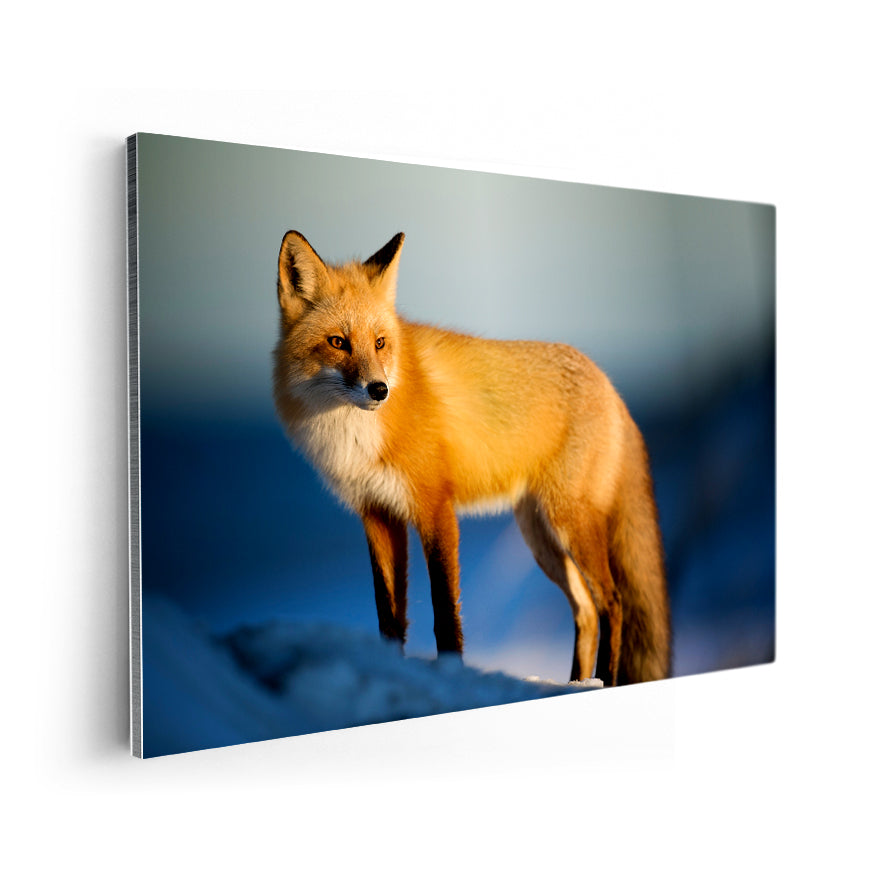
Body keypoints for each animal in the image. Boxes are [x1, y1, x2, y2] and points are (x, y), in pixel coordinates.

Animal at [272, 230, 671, 686]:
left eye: (379, 343)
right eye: (338, 342)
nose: (379, 390)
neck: (354, 436)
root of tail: (610, 385)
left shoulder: (435, 508)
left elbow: (445, 614)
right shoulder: (378, 513)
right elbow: (389, 618)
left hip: (570, 523)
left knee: (613, 602)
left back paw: (603, 680)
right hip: (540, 537)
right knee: (586, 610)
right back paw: (576, 682)